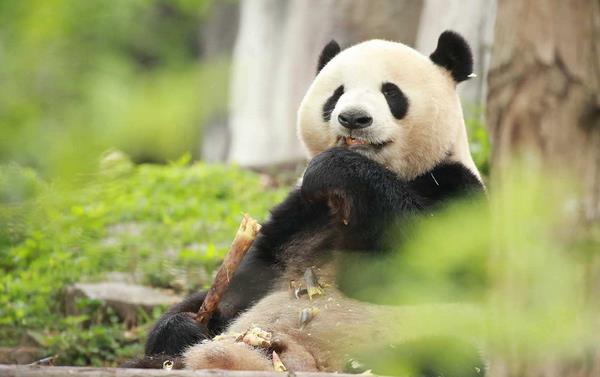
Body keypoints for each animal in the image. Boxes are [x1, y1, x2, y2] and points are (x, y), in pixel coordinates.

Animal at [129, 30, 486, 374]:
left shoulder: (455, 186)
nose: (353, 118)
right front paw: (185, 327)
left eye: (391, 93)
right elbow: (244, 285)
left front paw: (335, 168)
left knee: (448, 356)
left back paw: (363, 363)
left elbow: (418, 264)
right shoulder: (300, 215)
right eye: (337, 94)